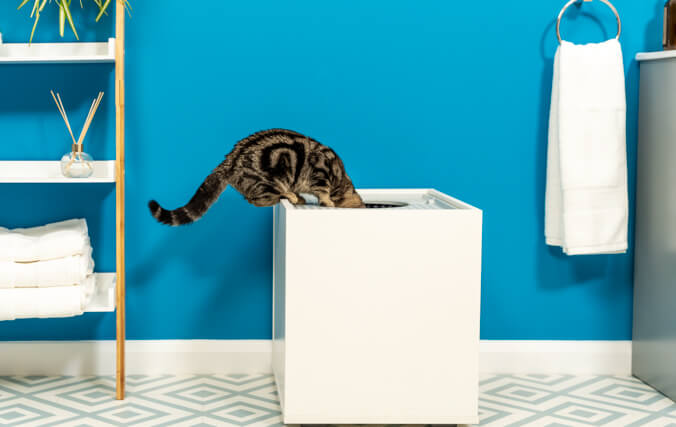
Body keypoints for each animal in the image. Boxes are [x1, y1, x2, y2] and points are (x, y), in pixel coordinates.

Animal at [149, 128, 364, 226]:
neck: (340, 178)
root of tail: (229, 161)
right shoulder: (320, 174)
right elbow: (323, 192)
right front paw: (327, 201)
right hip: (273, 177)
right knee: (259, 200)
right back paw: (287, 196)